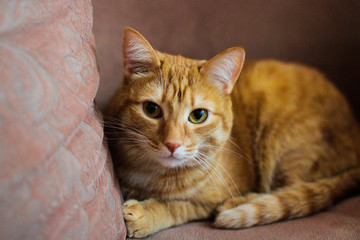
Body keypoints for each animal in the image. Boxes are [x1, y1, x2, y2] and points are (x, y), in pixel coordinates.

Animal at [105, 28, 360, 238]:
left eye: (198, 115)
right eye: (151, 109)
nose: (172, 144)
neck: (152, 176)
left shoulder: (208, 202)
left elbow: (179, 206)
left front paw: (146, 215)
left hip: (286, 150)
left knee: (293, 189)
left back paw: (237, 204)